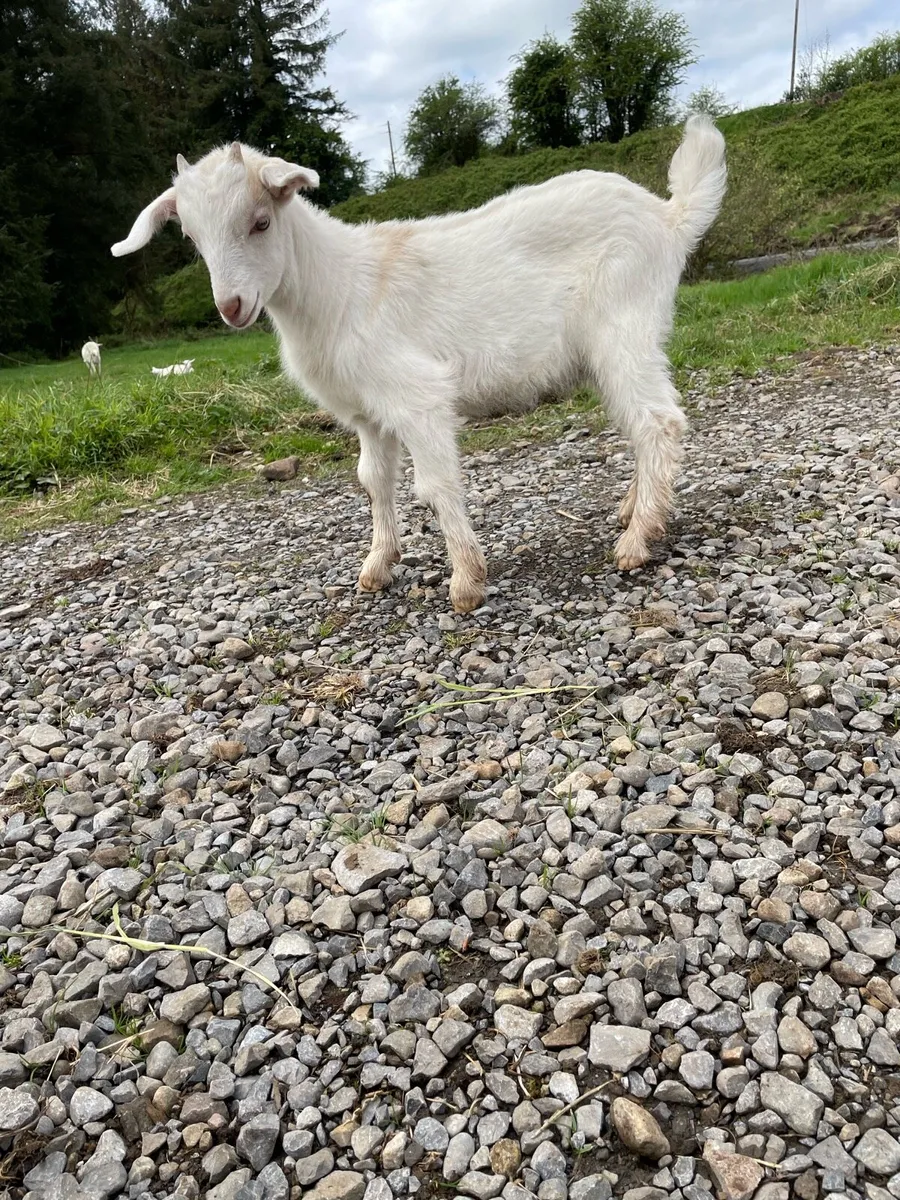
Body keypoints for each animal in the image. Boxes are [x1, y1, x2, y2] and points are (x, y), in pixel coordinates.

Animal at [111, 118, 727, 612]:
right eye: (193, 238)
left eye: (261, 222)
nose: (232, 306)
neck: (337, 290)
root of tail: (668, 217)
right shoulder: (367, 413)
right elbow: (372, 480)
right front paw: (377, 566)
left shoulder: (418, 396)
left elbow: (434, 484)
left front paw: (467, 582)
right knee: (638, 423)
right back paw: (636, 510)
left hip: (623, 325)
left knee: (658, 421)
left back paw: (637, 540)